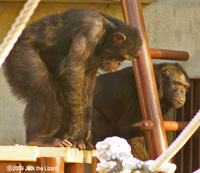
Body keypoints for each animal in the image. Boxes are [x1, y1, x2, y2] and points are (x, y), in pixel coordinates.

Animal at [2, 8, 141, 149]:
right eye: (121, 57)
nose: (118, 63)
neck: (106, 32)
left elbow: (89, 79)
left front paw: (87, 130)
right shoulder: (91, 30)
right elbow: (74, 69)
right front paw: (78, 131)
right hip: (21, 53)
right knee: (43, 89)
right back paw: (38, 139)